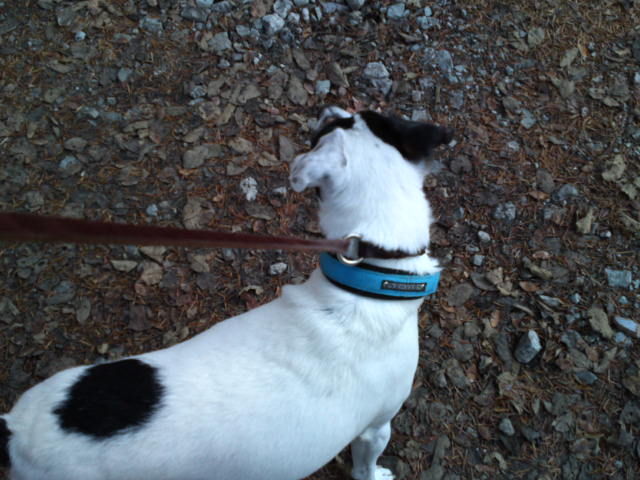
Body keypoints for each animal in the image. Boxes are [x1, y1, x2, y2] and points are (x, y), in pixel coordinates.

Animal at [0, 106, 452, 480]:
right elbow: (364, 465)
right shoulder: (377, 426)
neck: (373, 274)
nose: (327, 108)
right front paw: (377, 475)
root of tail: (15, 430)